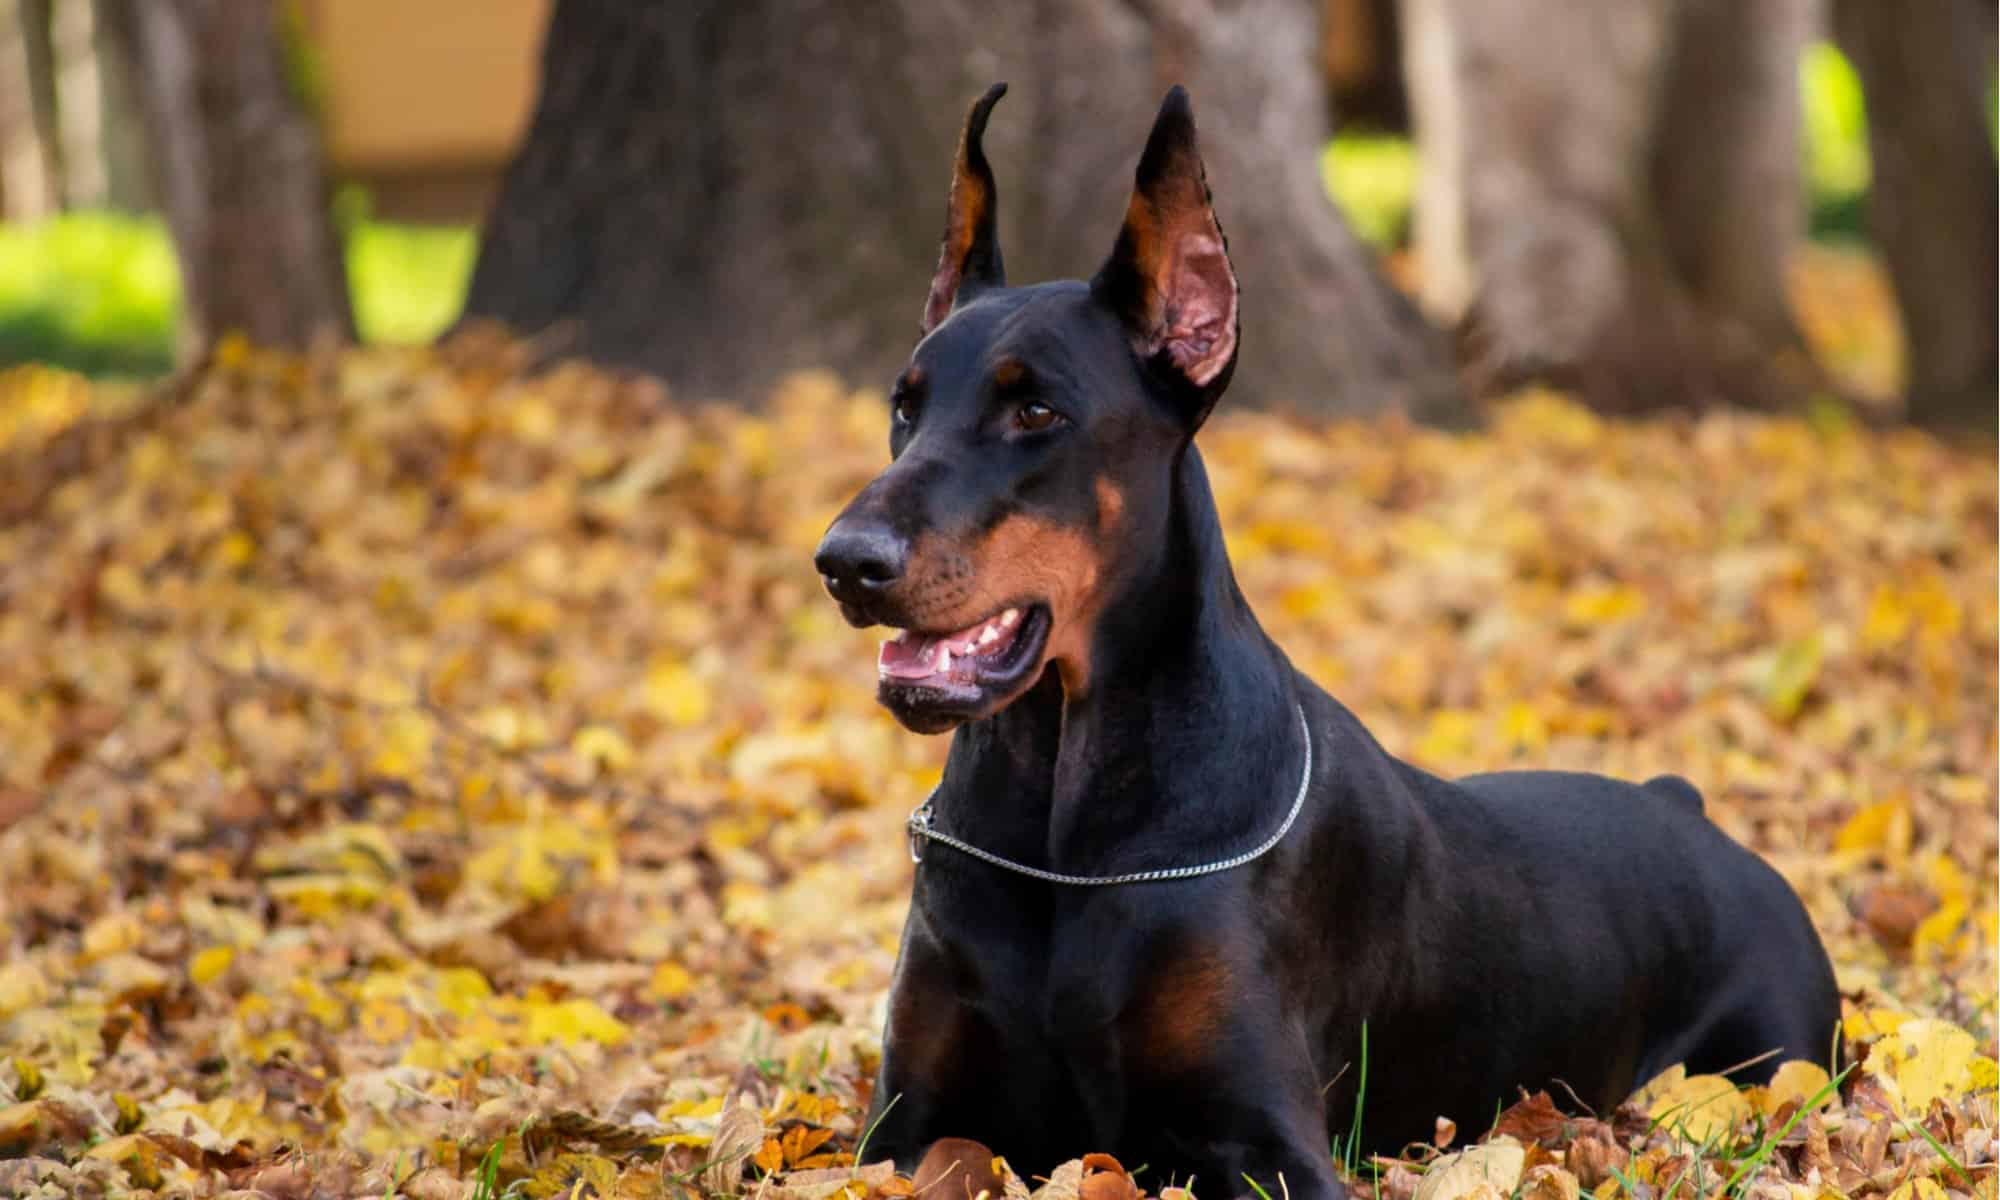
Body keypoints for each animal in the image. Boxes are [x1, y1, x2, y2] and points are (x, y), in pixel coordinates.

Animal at [808, 86, 1832, 1200]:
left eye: (1034, 408)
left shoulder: (1263, 1137)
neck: (1064, 831)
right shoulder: (907, 1122)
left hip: (1774, 1062)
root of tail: (1686, 808)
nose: (843, 561)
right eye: (903, 405)